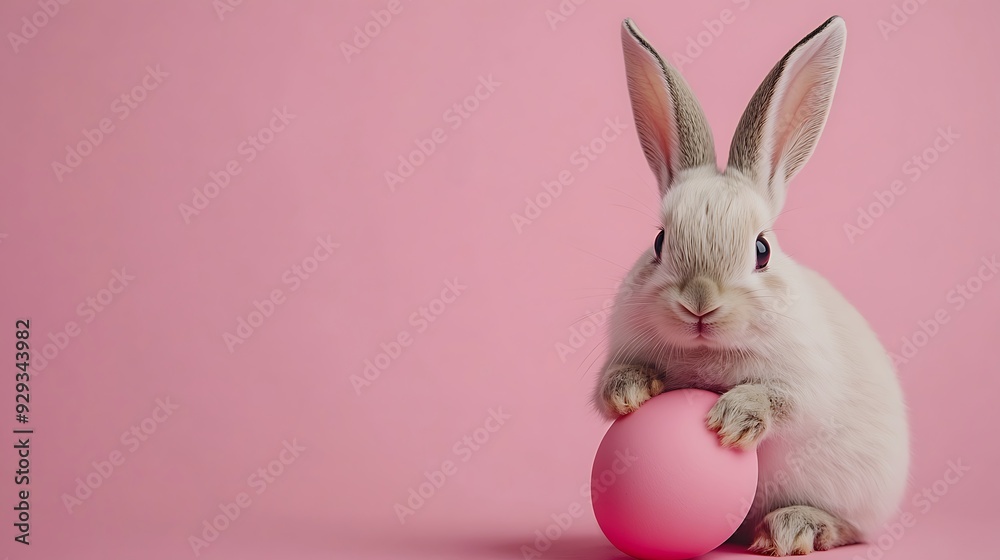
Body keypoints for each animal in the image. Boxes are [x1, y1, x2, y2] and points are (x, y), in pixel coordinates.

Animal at [592, 15, 916, 552]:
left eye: (761, 250)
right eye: (659, 242)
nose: (699, 302)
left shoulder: (807, 383)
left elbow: (784, 402)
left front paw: (733, 418)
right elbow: (609, 384)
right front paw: (629, 393)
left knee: (852, 528)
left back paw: (793, 527)